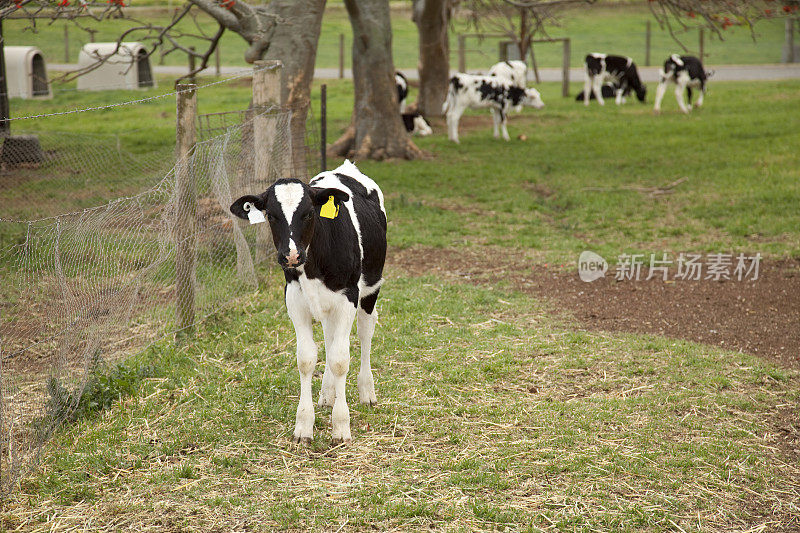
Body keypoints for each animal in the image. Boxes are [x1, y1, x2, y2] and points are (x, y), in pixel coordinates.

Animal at [228, 160, 388, 442]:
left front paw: (341, 426)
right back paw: (327, 394)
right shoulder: (295, 298)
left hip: (371, 287)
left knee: (365, 332)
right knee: (329, 337)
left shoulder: (348, 297)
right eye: (271, 215)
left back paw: (367, 392)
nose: (291, 255)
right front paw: (304, 425)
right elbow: (306, 358)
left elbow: (340, 359)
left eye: (309, 214)